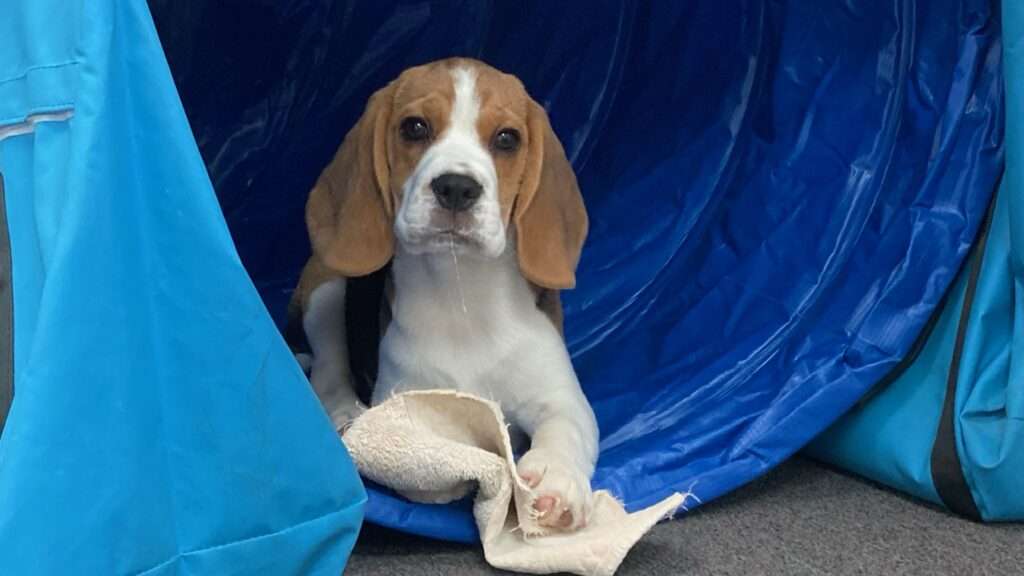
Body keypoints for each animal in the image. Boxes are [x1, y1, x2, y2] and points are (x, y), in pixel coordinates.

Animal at [288, 58, 598, 528]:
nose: (456, 187)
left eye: (507, 138)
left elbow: (565, 429)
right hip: (326, 286)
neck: (463, 292)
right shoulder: (404, 399)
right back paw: (343, 412)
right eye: (414, 127)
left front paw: (554, 478)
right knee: (326, 371)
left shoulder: (562, 396)